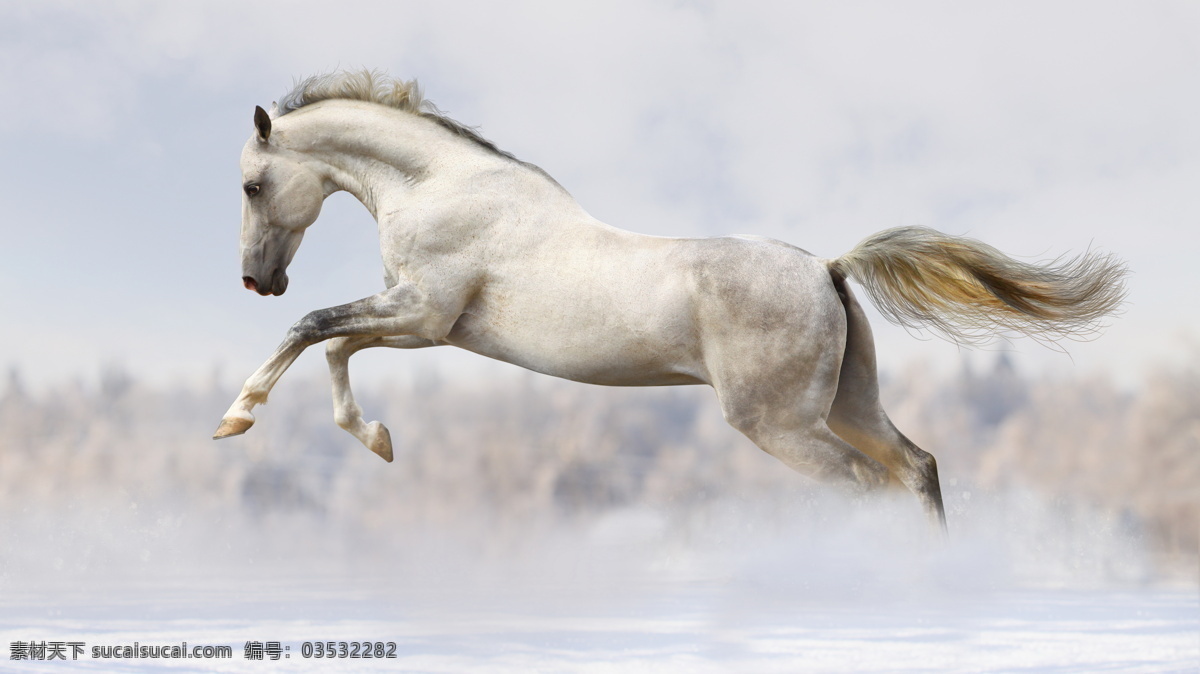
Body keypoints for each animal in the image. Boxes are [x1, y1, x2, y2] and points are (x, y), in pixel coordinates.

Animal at [213, 72, 1123, 525]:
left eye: (254, 185)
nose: (257, 279)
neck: (443, 186)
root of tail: (828, 268)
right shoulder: (427, 324)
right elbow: (334, 343)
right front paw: (377, 441)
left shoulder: (423, 312)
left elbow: (312, 328)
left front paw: (236, 418)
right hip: (848, 403)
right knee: (916, 469)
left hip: (779, 424)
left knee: (868, 486)